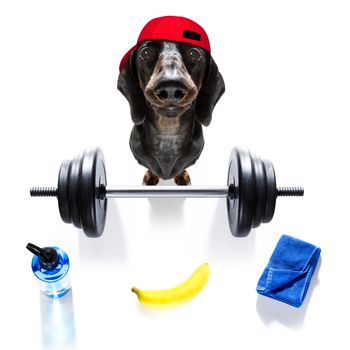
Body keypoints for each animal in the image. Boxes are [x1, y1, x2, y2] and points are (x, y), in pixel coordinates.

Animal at [118, 29, 224, 186]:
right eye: (145, 52)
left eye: (194, 54)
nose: (170, 89)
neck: (168, 134)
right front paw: (151, 176)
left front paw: (182, 176)